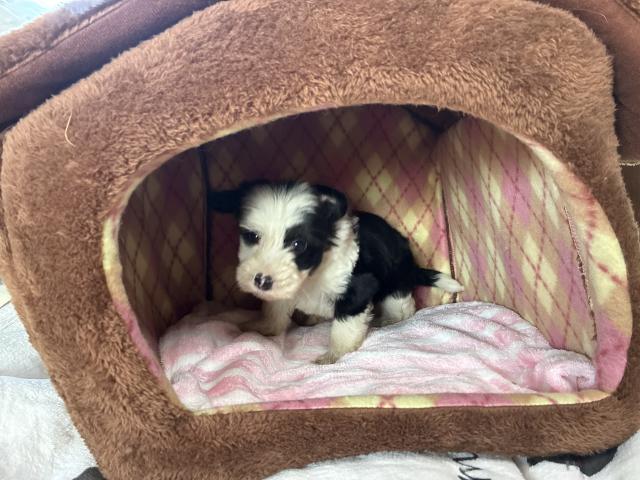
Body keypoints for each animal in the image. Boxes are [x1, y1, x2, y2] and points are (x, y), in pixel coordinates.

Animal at [209, 180, 463, 364]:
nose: (262, 281)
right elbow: (276, 309)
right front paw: (265, 327)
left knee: (404, 306)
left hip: (395, 283)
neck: (313, 271)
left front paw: (334, 355)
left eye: (298, 244)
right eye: (252, 236)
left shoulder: (357, 287)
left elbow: (344, 327)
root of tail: (411, 268)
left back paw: (388, 319)